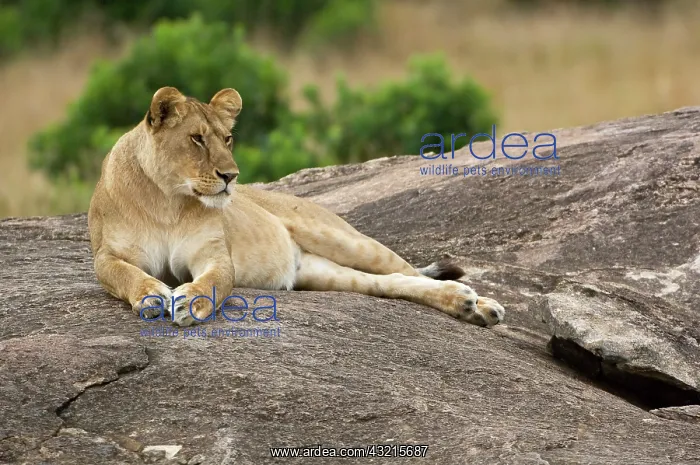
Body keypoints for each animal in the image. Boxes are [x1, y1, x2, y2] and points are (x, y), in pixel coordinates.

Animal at [88, 86, 505, 327]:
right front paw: (152, 295)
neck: (168, 200)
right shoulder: (106, 255)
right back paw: (466, 306)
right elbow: (125, 275)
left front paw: (191, 301)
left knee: (407, 271)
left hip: (346, 239)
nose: (231, 176)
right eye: (197, 139)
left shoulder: (215, 255)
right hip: (322, 274)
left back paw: (480, 304)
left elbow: (214, 281)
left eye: (227, 138)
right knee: (391, 283)